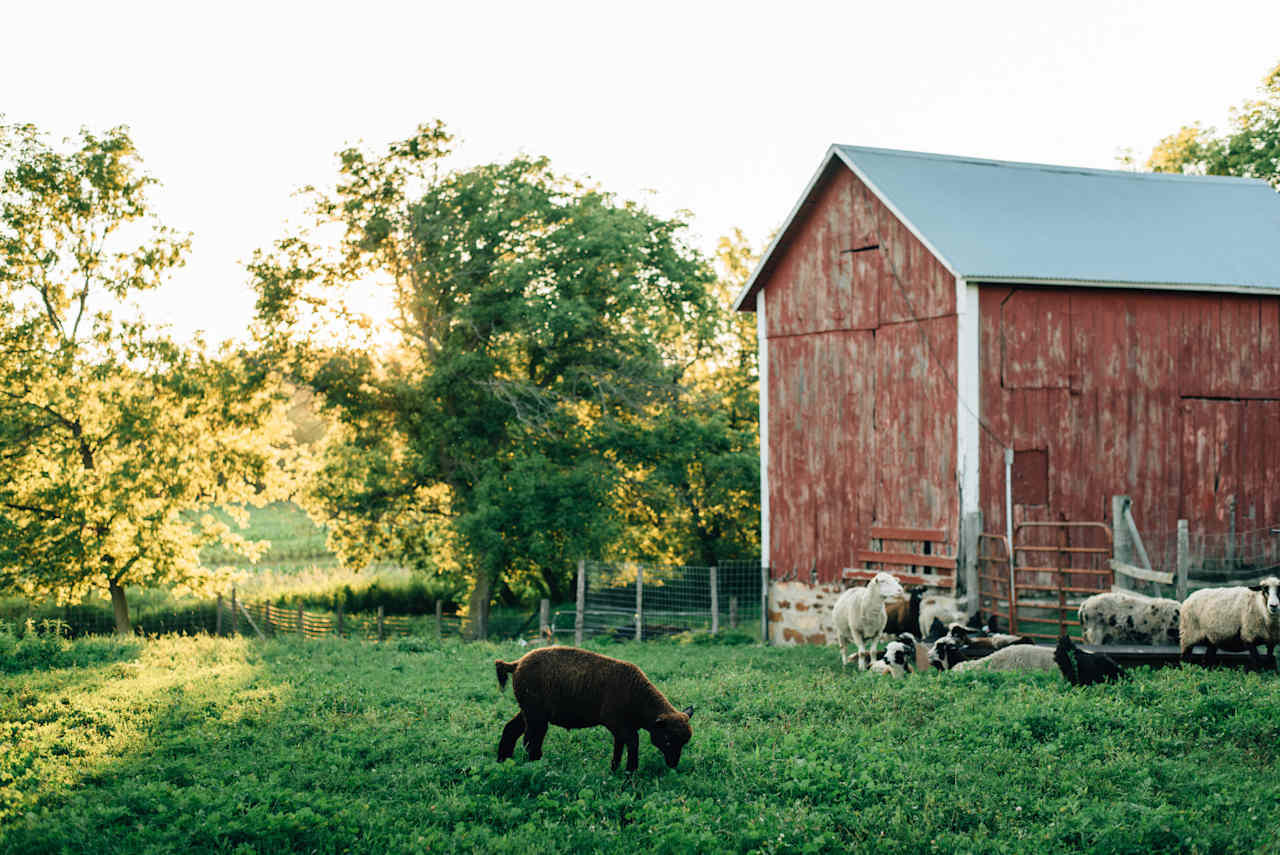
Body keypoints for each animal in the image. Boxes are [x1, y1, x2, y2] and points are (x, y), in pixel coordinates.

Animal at [494, 645, 696, 773]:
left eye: (684, 743)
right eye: (668, 740)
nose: (673, 764)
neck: (637, 696)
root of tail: (516, 664)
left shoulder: (622, 728)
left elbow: (619, 746)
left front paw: (615, 770)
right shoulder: (617, 723)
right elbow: (633, 743)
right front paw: (630, 773)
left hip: (528, 709)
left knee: (511, 730)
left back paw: (503, 761)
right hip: (535, 713)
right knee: (530, 741)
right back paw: (534, 766)